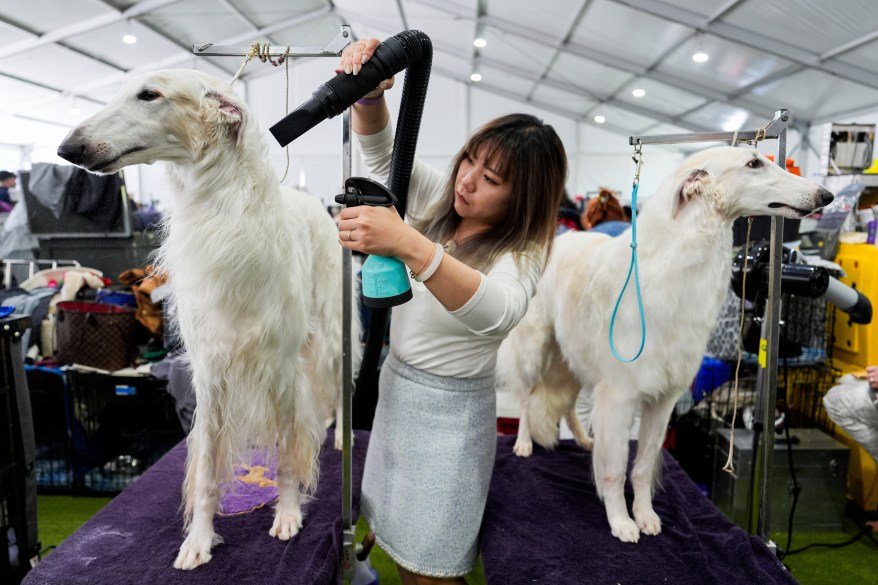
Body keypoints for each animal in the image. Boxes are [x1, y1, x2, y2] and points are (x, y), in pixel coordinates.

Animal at [56, 68, 360, 564]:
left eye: (149, 94)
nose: (68, 149)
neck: (224, 218)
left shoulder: (279, 367)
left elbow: (287, 454)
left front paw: (287, 513)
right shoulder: (211, 370)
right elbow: (204, 470)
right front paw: (198, 541)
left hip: (331, 330)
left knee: (336, 384)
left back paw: (337, 435)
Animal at [498, 146, 836, 544]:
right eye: (754, 163)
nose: (826, 196)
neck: (674, 263)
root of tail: (560, 239)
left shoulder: (664, 399)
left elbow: (642, 468)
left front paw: (645, 516)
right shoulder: (619, 396)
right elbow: (615, 469)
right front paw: (621, 521)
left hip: (575, 362)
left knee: (566, 406)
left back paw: (584, 441)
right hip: (535, 352)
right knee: (526, 399)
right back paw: (523, 443)